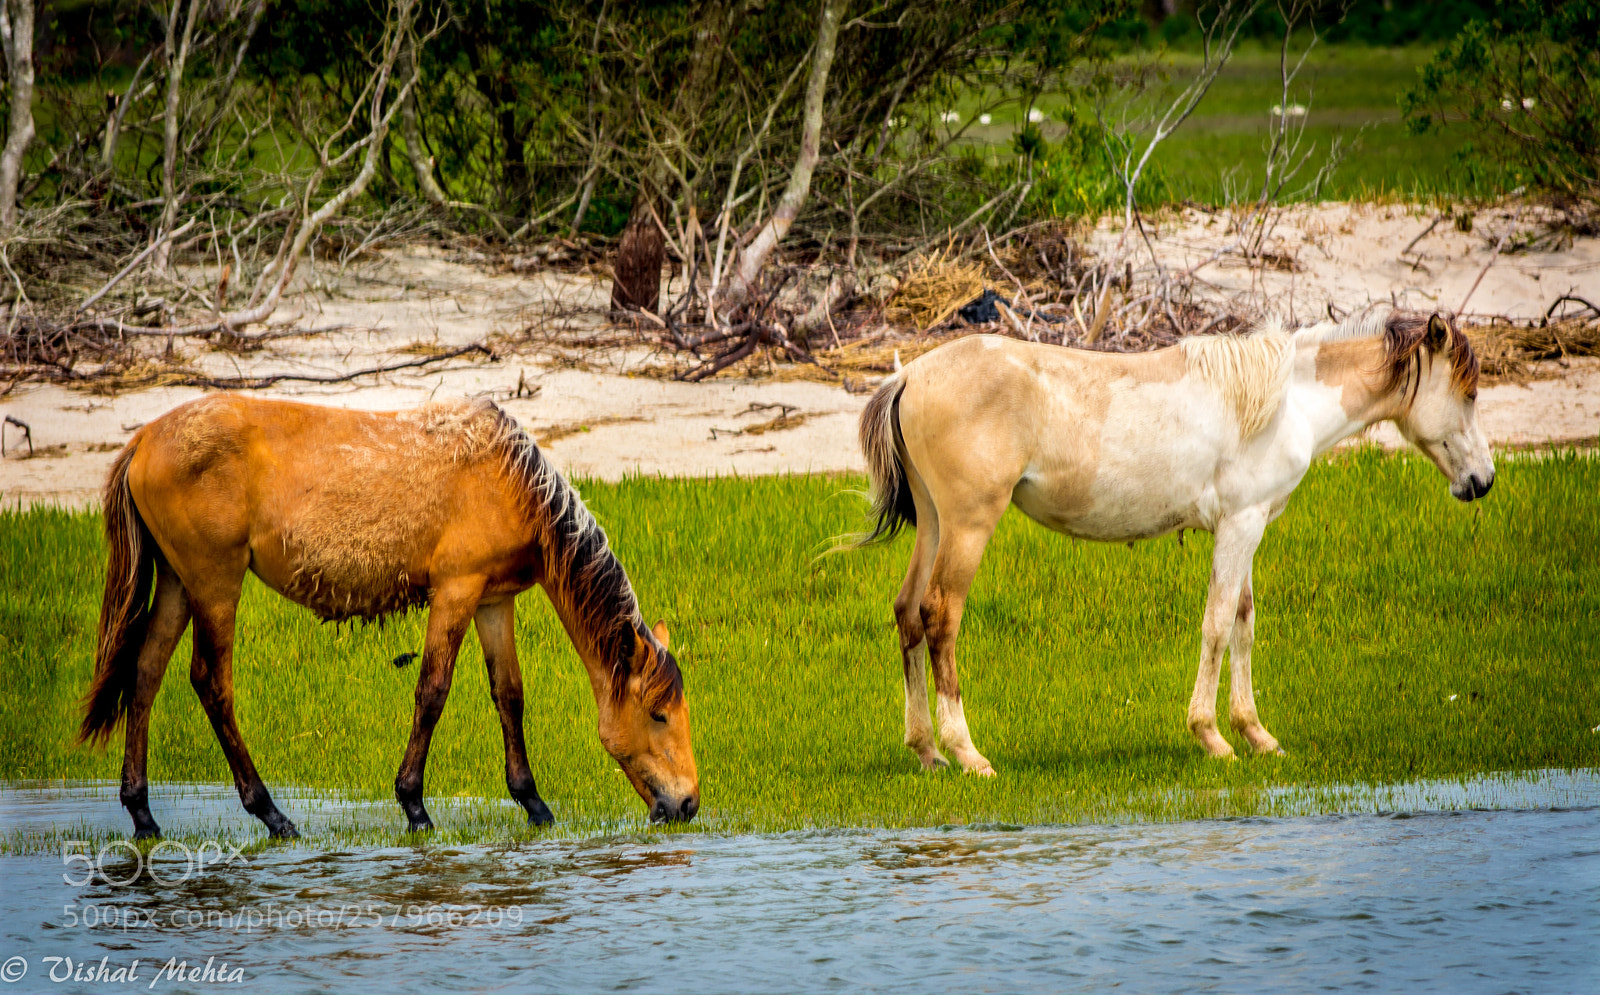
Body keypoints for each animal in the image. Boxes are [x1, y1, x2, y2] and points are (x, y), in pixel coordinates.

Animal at [81, 395, 698, 838]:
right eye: (659, 714)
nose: (690, 803)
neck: (514, 484)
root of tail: (142, 439)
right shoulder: (456, 591)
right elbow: (433, 692)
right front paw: (414, 805)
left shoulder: (494, 600)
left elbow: (509, 695)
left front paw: (533, 802)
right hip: (214, 584)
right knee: (211, 683)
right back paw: (271, 814)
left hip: (177, 582)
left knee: (144, 675)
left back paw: (142, 814)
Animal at [853, 308, 1491, 775]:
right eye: (1470, 393)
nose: (1482, 481)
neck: (1284, 404)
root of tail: (909, 376)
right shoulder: (1240, 526)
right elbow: (1216, 625)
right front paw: (1212, 738)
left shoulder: (1247, 528)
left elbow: (1243, 622)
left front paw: (1257, 734)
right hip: (968, 527)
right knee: (940, 617)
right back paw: (967, 753)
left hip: (935, 524)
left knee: (908, 613)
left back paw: (927, 750)